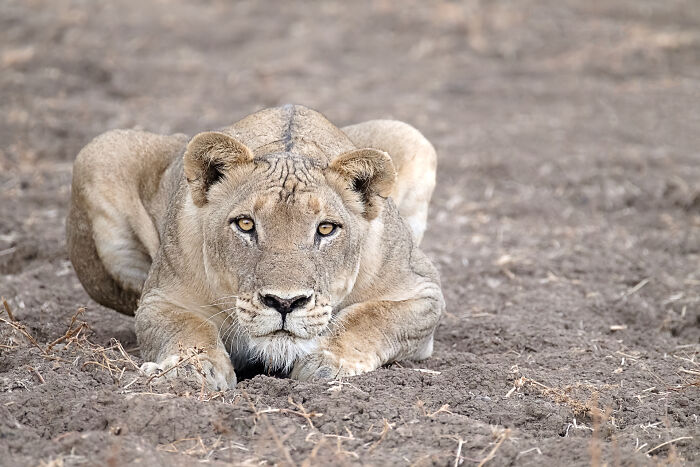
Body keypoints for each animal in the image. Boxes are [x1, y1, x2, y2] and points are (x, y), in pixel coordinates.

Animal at [67, 105, 444, 390]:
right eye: (246, 224)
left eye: (325, 229)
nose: (285, 303)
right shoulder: (160, 299)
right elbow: (187, 326)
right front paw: (188, 369)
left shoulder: (424, 292)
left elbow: (371, 317)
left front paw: (326, 362)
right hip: (98, 153)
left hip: (409, 136)